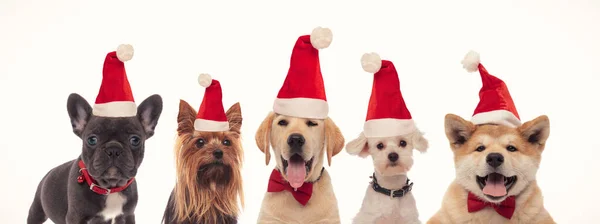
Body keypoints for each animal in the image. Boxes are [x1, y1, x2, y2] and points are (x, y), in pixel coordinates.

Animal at [344, 53, 428, 224]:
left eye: (403, 143)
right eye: (379, 146)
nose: (393, 155)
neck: (391, 189)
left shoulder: (409, 219)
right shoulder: (368, 218)